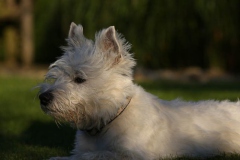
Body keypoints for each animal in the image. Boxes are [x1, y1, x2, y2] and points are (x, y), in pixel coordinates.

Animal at [38, 22, 240, 159]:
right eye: (56, 77)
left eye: (79, 79)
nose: (43, 97)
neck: (108, 119)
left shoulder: (133, 154)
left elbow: (98, 155)